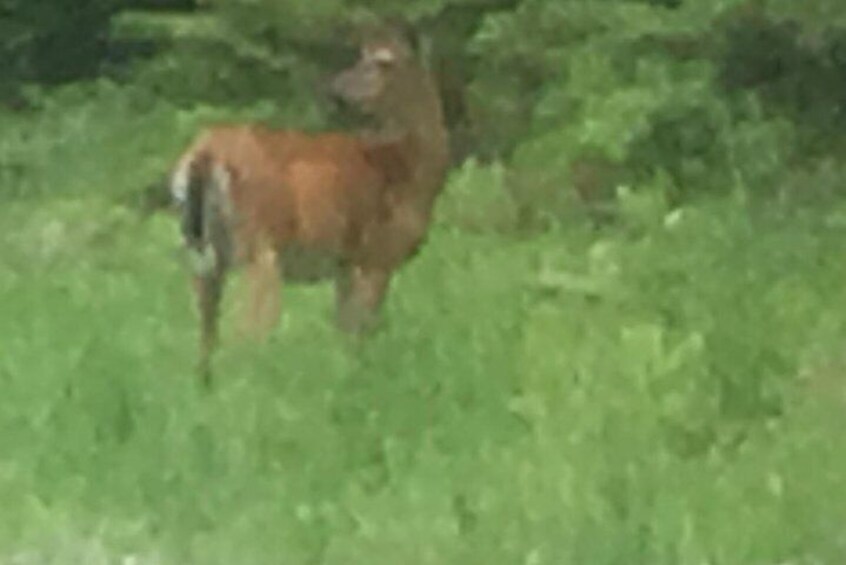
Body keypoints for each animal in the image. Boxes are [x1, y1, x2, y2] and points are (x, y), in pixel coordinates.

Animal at [168, 23, 454, 384]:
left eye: (383, 62)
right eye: (364, 56)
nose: (336, 90)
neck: (408, 168)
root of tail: (203, 155)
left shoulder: (345, 264)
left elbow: (344, 330)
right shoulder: (376, 256)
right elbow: (362, 332)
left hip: (201, 253)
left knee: (207, 335)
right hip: (260, 247)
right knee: (246, 331)